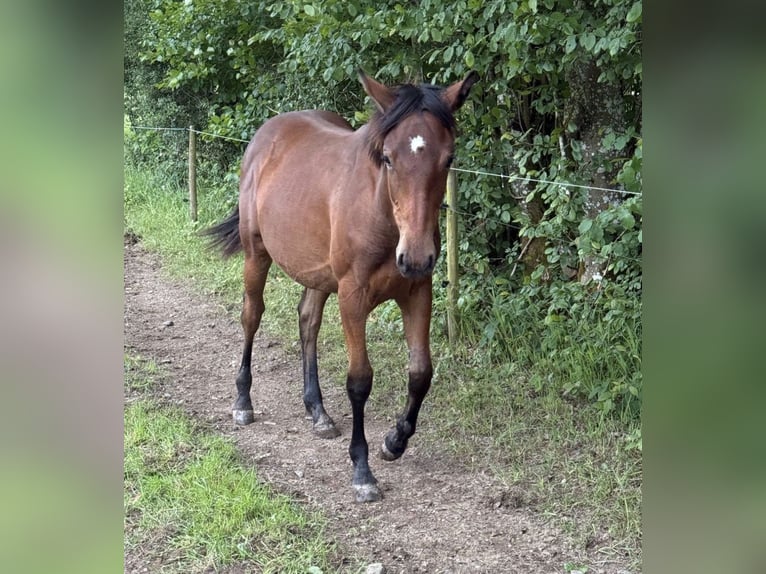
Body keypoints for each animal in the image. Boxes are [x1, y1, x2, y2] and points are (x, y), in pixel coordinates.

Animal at [204, 69, 478, 502]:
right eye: (388, 157)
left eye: (448, 158)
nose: (416, 257)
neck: (380, 215)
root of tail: (267, 135)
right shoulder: (353, 297)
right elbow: (360, 380)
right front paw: (362, 470)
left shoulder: (418, 292)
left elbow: (420, 372)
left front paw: (394, 441)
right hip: (257, 254)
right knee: (251, 316)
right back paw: (243, 401)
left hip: (317, 274)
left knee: (307, 322)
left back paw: (317, 412)